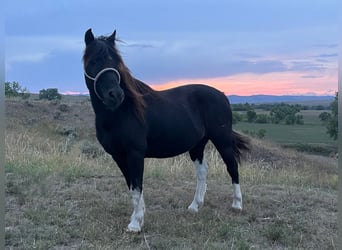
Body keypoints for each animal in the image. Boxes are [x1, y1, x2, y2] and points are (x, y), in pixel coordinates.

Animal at [82, 28, 248, 231]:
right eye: (93, 62)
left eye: (116, 62)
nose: (116, 95)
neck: (121, 112)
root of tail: (222, 95)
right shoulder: (118, 156)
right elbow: (131, 186)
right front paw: (137, 216)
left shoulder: (135, 153)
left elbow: (137, 187)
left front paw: (135, 224)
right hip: (197, 145)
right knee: (202, 172)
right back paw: (195, 206)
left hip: (221, 140)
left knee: (232, 167)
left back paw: (237, 204)